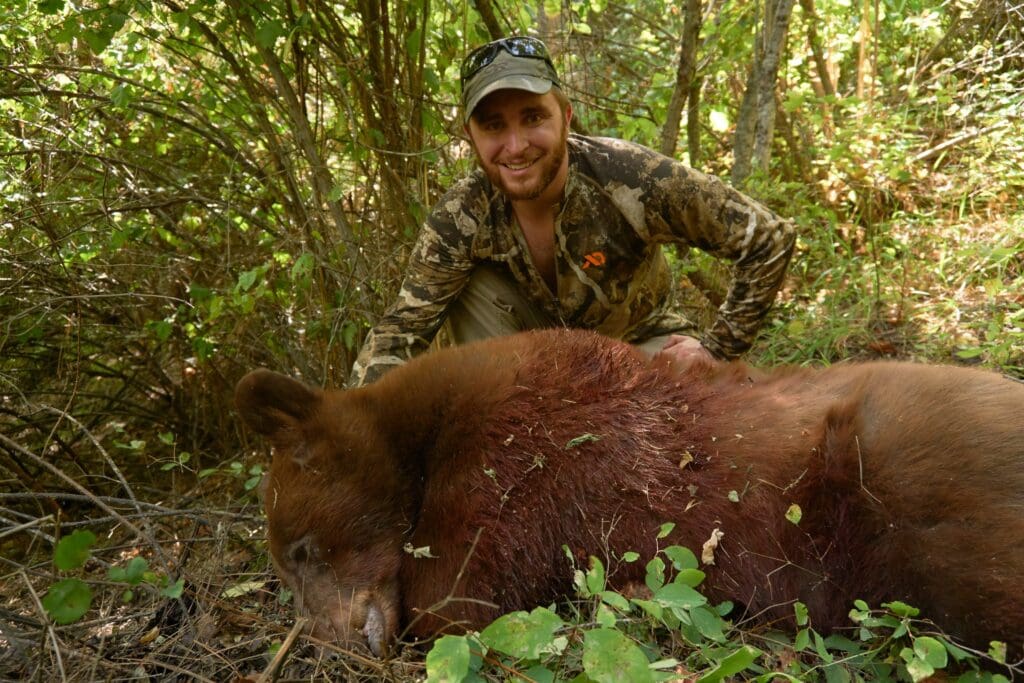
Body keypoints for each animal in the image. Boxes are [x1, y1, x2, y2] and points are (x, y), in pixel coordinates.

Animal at [235, 328, 1024, 658]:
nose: (333, 641)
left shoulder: (511, 453)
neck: (421, 433)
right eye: (285, 567)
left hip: (914, 482)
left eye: (301, 551)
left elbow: (456, 597)